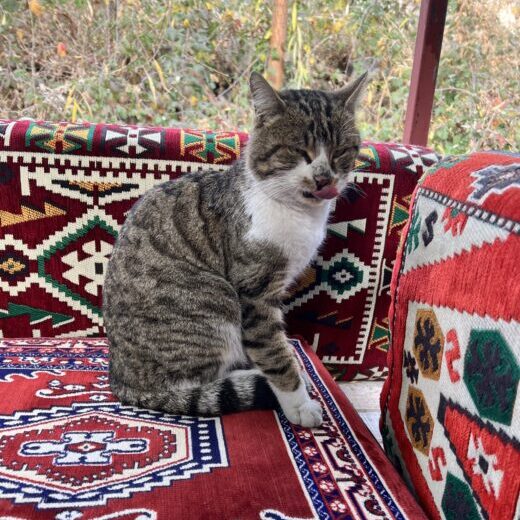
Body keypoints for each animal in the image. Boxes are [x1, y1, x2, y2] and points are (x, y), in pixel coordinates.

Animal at [103, 70, 368, 426]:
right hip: (214, 301)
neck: (299, 215)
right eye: (300, 151)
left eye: (340, 151)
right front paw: (299, 405)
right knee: (193, 383)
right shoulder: (256, 292)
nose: (324, 178)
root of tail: (121, 379)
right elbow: (275, 354)